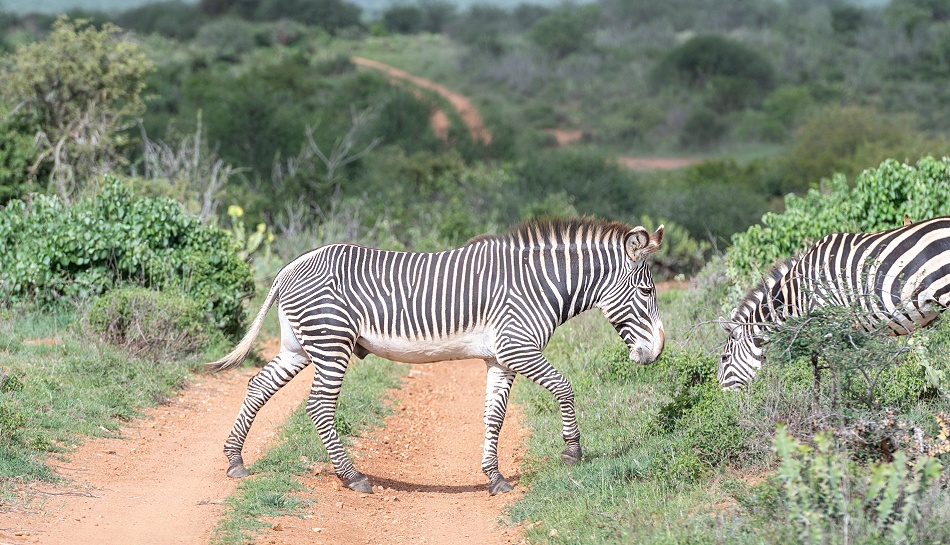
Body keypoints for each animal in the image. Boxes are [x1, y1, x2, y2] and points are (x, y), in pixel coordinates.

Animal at [207, 218, 665, 495]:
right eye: (646, 291)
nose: (657, 353)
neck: (537, 286)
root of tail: (290, 267)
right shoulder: (519, 347)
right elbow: (565, 388)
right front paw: (572, 452)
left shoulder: (500, 358)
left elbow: (494, 416)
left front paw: (494, 477)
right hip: (330, 342)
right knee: (319, 406)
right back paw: (353, 477)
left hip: (299, 346)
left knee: (258, 385)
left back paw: (235, 460)